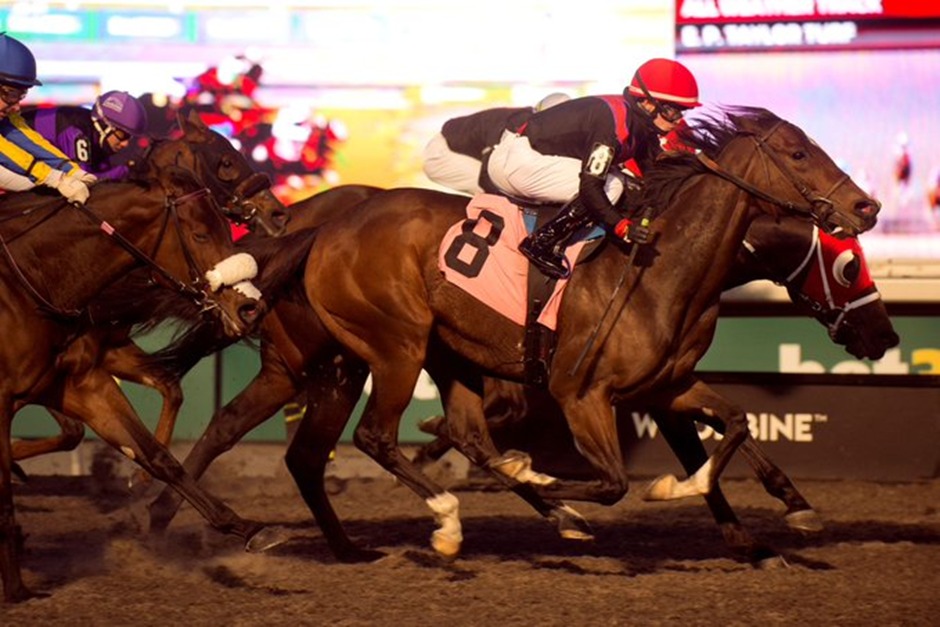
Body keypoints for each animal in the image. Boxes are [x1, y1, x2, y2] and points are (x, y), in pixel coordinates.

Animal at [146, 154, 888, 566]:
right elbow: (693, 450)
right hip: (377, 351)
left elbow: (732, 430)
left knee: (282, 445)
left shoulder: (660, 382)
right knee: (352, 437)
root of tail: (317, 223)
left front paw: (784, 511)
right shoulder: (615, 386)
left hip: (337, 362)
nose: (882, 336)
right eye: (849, 268)